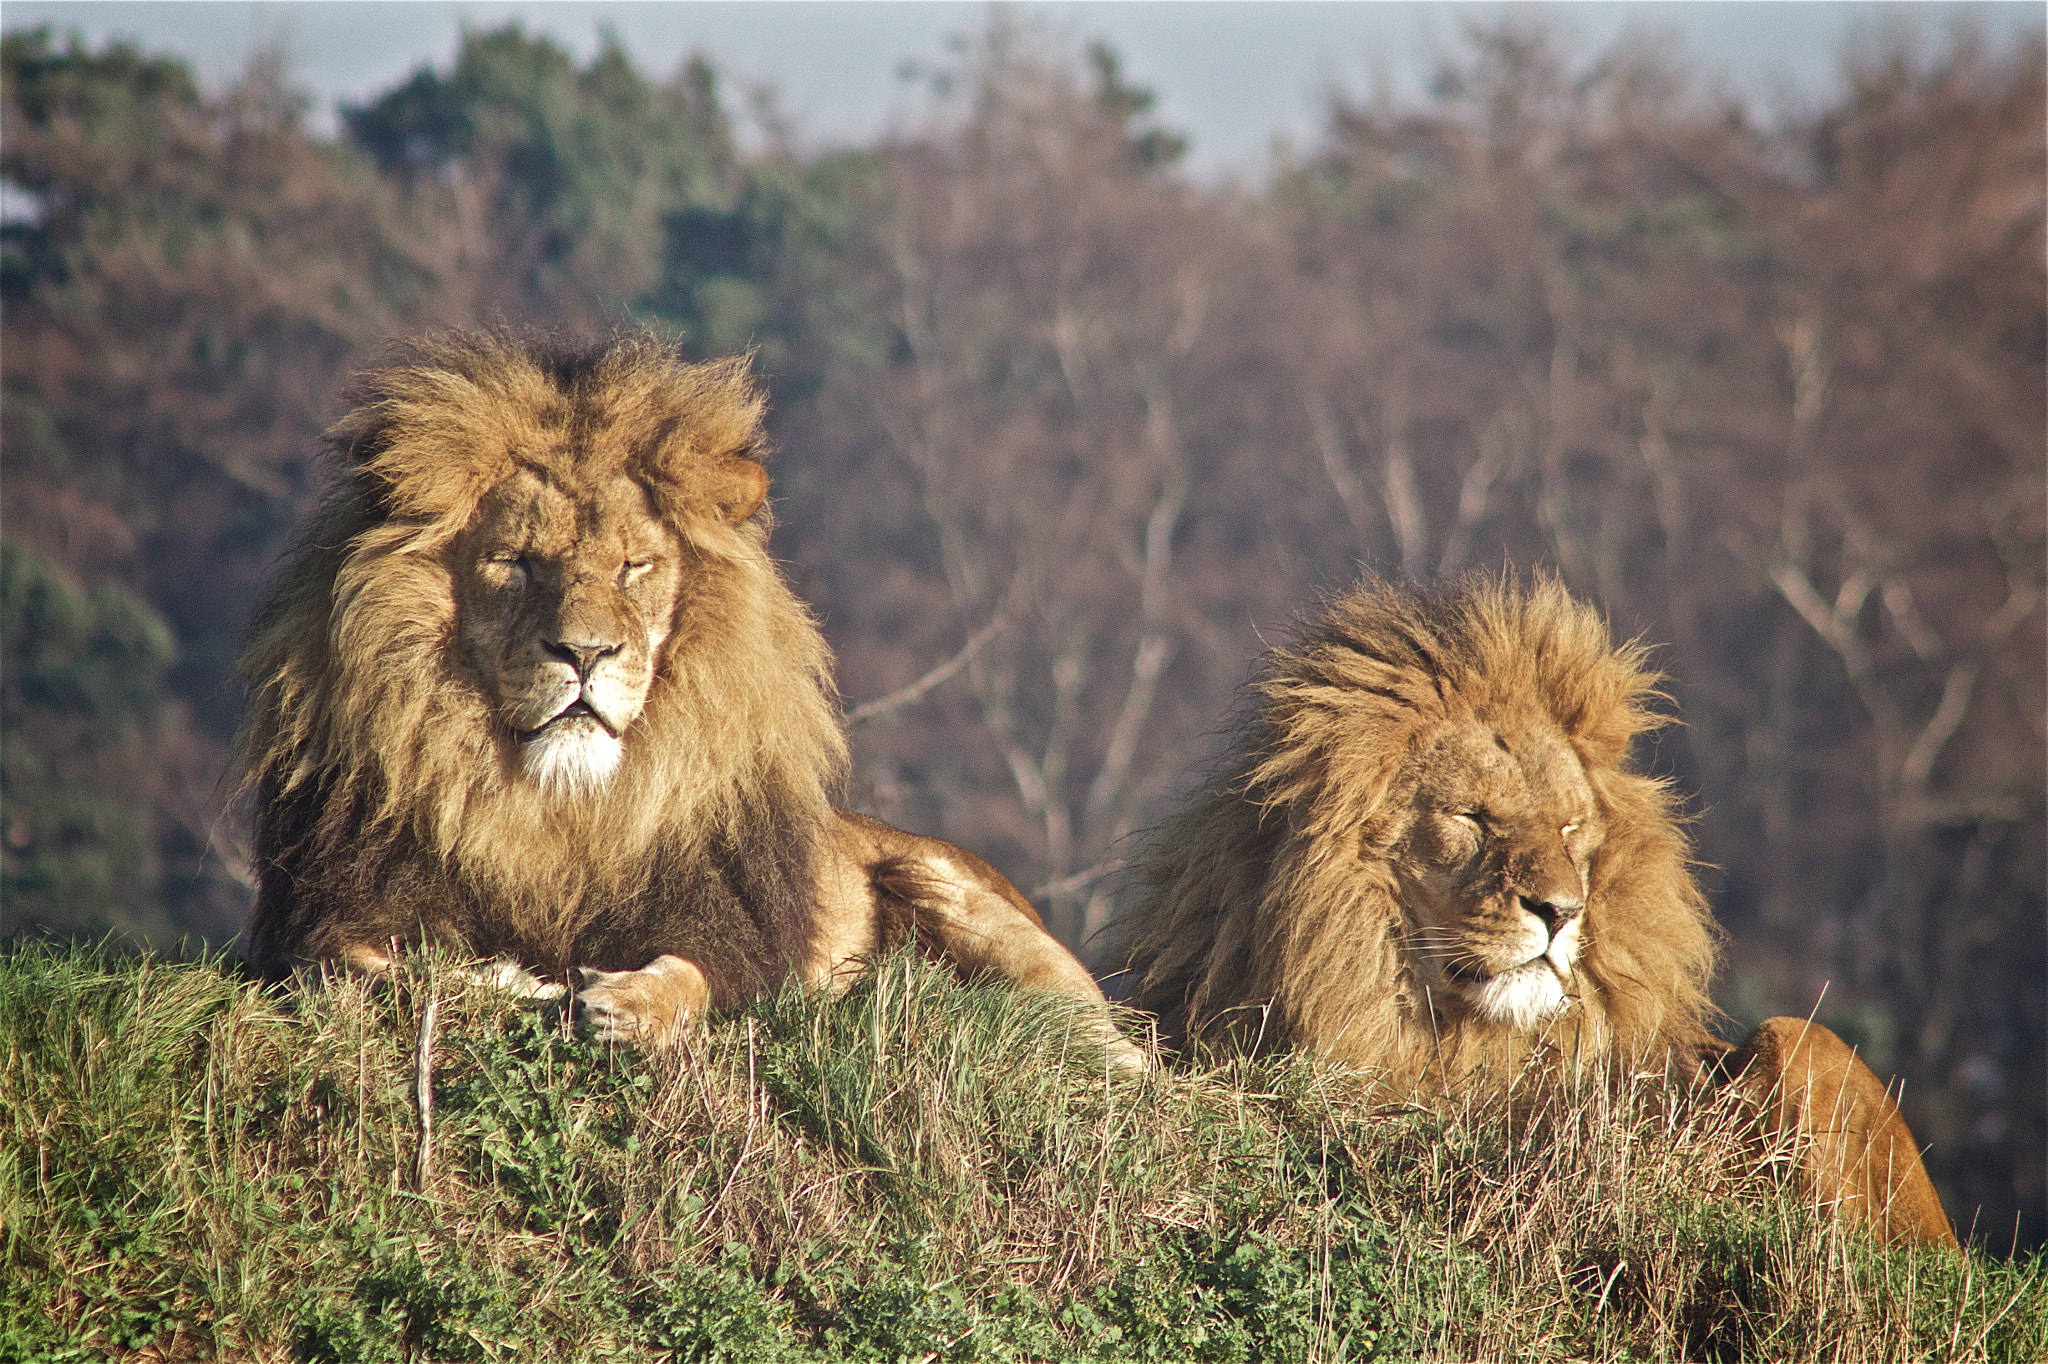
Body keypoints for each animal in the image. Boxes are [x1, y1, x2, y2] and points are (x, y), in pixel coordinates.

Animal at [237, 323, 1146, 1064]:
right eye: (517, 562)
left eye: (635, 566)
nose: (585, 652)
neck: (559, 807)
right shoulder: (324, 920)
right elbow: (378, 969)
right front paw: (516, 983)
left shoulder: (728, 932)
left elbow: (691, 976)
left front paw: (625, 1004)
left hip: (947, 890)